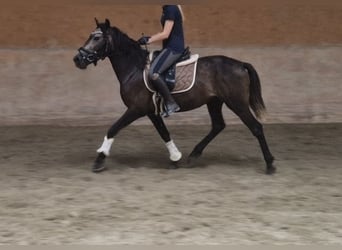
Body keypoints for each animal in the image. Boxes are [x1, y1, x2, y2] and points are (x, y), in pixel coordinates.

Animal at [73, 19, 276, 174]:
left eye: (97, 37)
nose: (77, 59)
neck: (135, 68)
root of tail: (240, 64)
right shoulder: (151, 111)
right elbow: (164, 133)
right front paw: (175, 158)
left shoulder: (136, 109)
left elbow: (113, 129)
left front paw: (99, 159)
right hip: (214, 102)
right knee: (218, 125)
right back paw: (193, 155)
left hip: (236, 103)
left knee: (256, 128)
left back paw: (270, 164)